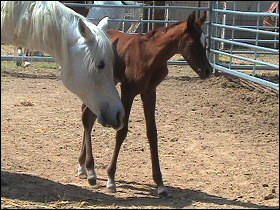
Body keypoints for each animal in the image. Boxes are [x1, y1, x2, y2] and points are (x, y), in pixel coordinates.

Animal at [77, 10, 212, 196]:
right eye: (192, 43)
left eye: (205, 43)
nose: (207, 70)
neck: (149, 56)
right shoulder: (128, 92)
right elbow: (122, 131)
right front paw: (111, 178)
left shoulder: (149, 92)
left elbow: (152, 133)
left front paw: (160, 184)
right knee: (86, 117)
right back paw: (90, 170)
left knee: (88, 115)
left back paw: (84, 167)